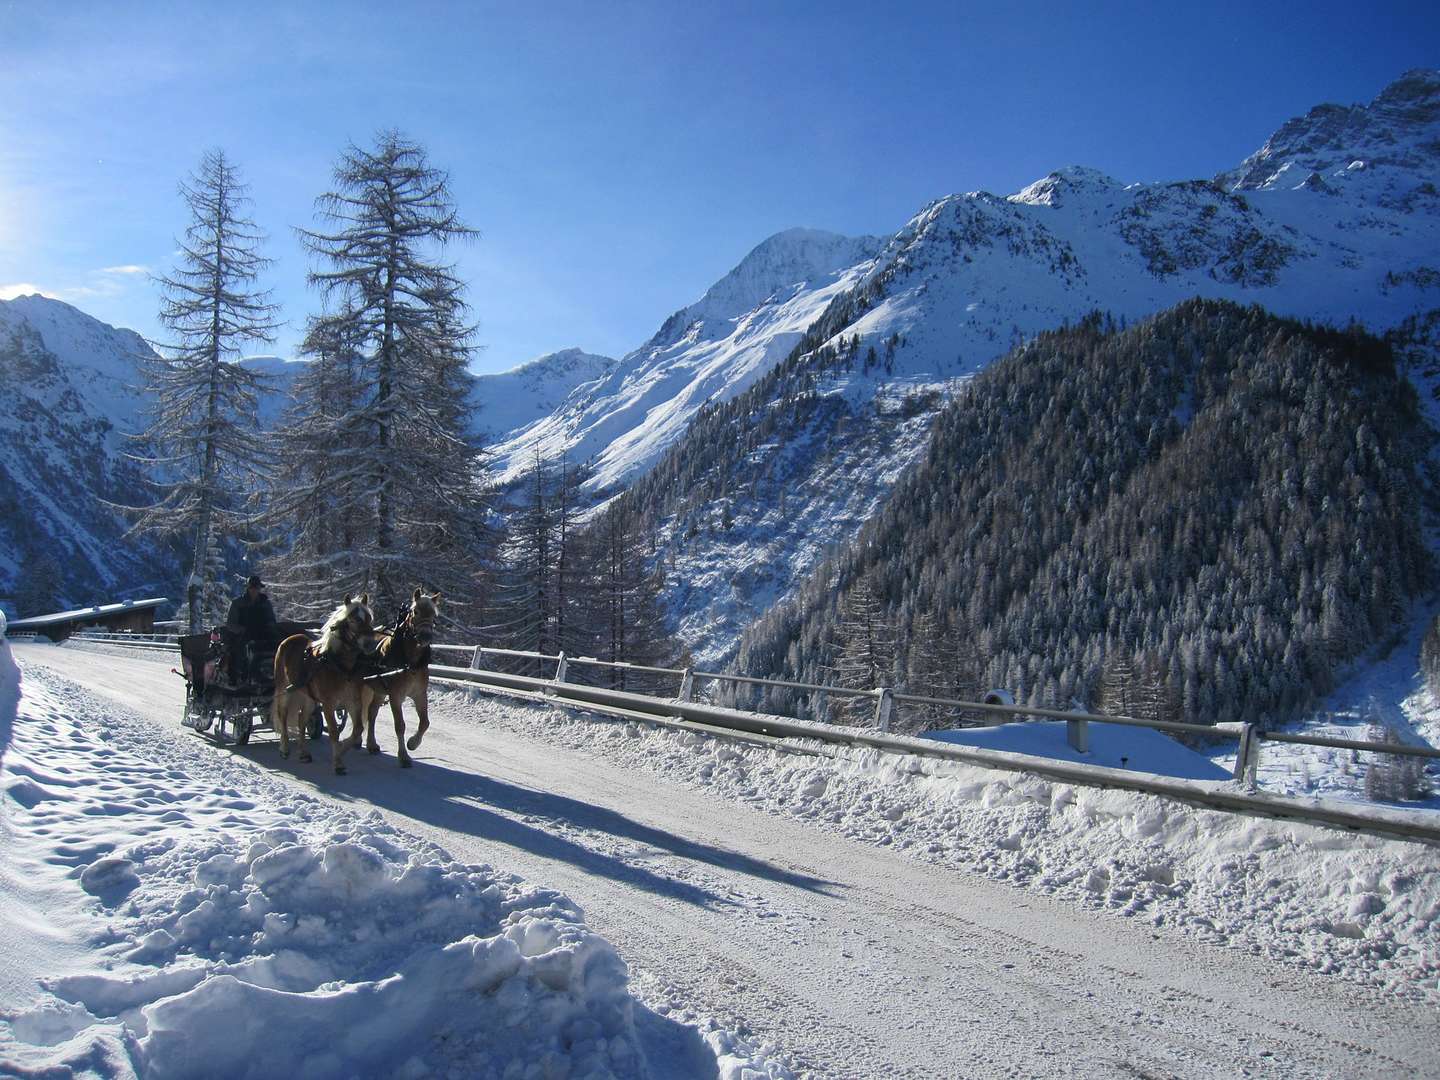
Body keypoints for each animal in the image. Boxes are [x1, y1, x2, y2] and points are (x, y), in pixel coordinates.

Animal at [270, 596, 380, 771]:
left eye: (370, 618)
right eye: (352, 619)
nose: (370, 644)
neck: (339, 666)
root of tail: (289, 638)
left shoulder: (353, 701)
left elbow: (358, 729)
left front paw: (341, 750)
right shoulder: (329, 704)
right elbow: (334, 731)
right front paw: (338, 762)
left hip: (308, 698)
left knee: (302, 720)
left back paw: (304, 753)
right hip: (284, 690)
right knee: (283, 716)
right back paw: (285, 749)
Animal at [360, 593, 437, 771]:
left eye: (434, 615)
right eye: (415, 611)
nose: (425, 637)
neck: (411, 662)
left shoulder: (420, 694)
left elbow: (425, 722)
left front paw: (413, 743)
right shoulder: (396, 696)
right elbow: (400, 725)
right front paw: (403, 756)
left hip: (378, 690)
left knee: (372, 713)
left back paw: (371, 744)